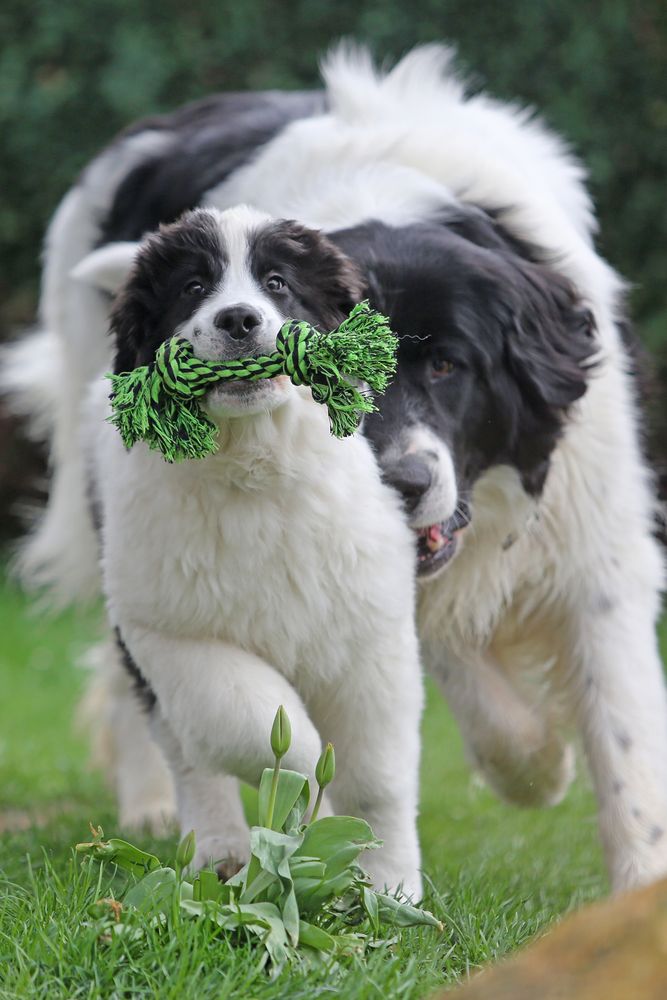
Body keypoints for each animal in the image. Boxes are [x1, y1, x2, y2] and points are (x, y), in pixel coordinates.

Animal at [5, 45, 667, 892]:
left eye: (447, 365)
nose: (401, 486)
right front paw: (533, 764)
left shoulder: (596, 539)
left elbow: (622, 734)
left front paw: (631, 883)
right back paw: (158, 808)